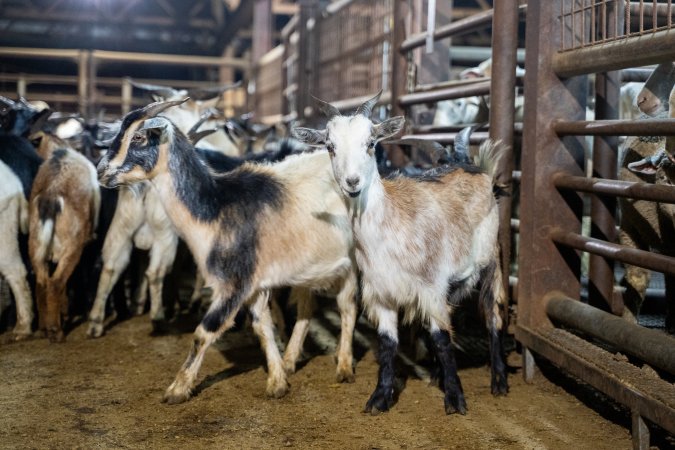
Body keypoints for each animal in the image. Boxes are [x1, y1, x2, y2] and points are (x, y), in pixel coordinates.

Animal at [95, 99, 360, 404]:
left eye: (138, 137)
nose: (101, 171)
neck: (216, 207)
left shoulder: (234, 283)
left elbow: (204, 331)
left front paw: (177, 389)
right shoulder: (255, 285)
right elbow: (262, 327)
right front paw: (277, 381)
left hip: (352, 264)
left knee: (347, 307)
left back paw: (344, 366)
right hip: (309, 268)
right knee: (307, 308)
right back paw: (293, 360)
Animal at [294, 91, 510, 414]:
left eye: (371, 143)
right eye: (330, 147)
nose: (352, 182)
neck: (390, 227)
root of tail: (476, 169)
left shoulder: (430, 287)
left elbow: (441, 338)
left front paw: (455, 399)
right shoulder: (381, 293)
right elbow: (387, 344)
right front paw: (380, 397)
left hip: (491, 261)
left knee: (492, 315)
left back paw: (498, 381)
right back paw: (437, 375)